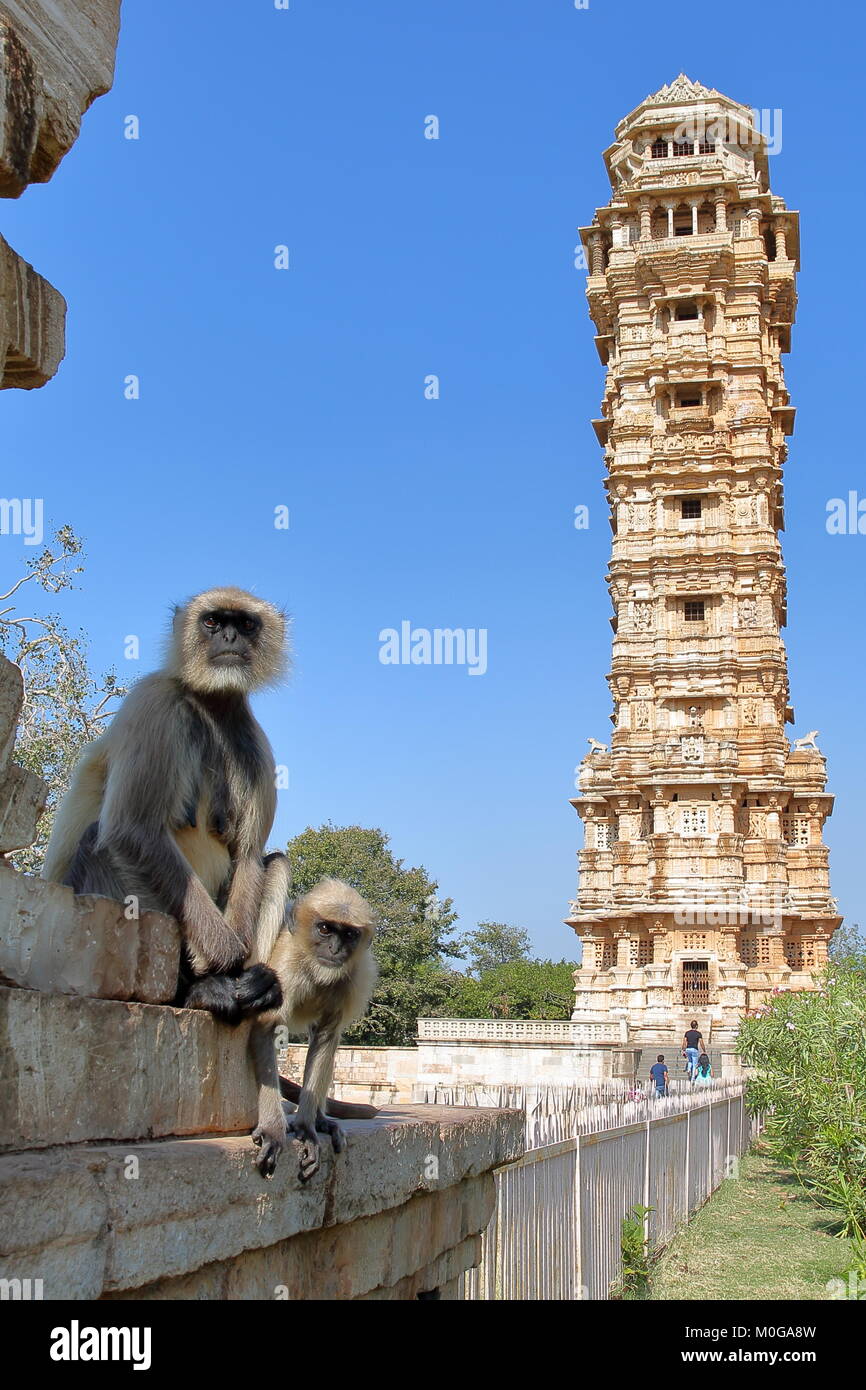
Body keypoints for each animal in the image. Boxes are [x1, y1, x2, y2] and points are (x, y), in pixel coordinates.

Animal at [40, 586, 289, 1023]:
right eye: (212, 621)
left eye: (245, 624)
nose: (229, 638)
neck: (210, 707)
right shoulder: (154, 700)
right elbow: (133, 830)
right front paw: (227, 959)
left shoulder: (254, 741)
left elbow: (248, 855)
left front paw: (243, 973)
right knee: (102, 838)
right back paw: (197, 990)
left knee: (275, 862)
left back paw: (254, 987)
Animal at [247, 872, 375, 1178]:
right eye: (325, 929)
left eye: (349, 934)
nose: (335, 948)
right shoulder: (286, 967)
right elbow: (267, 1028)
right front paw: (274, 1129)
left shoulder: (352, 979)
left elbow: (326, 1035)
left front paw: (305, 1127)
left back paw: (319, 1119)